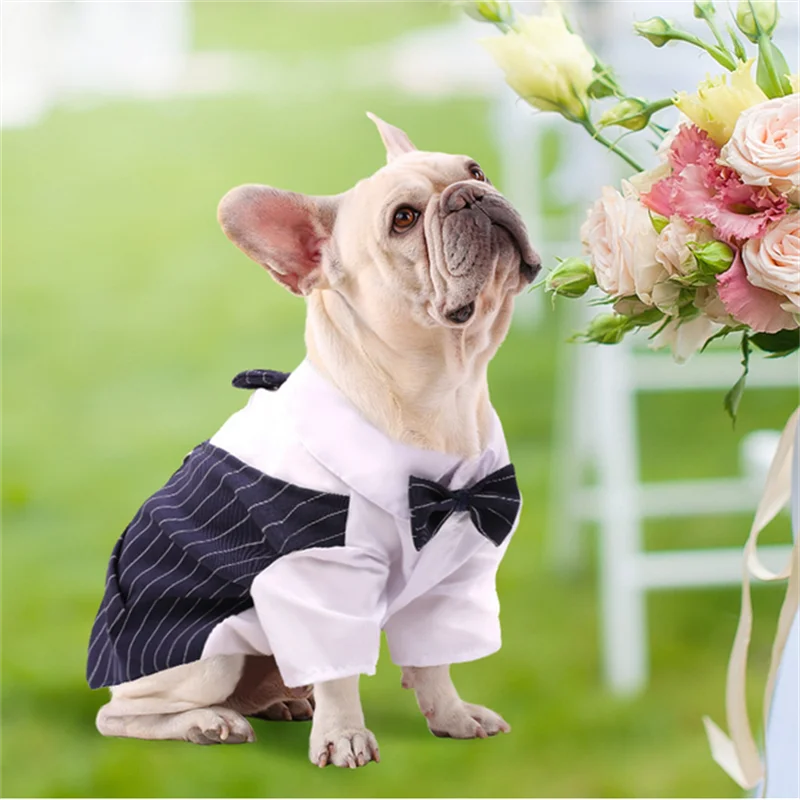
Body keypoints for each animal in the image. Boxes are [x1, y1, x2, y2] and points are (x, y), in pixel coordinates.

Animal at [86, 114, 536, 768]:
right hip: (203, 655)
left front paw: (451, 717)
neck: (443, 392)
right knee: (122, 714)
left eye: (475, 170)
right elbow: (340, 672)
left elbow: (434, 661)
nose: (470, 195)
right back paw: (207, 723)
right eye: (404, 219)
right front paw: (345, 736)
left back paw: (280, 703)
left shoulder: (455, 568)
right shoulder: (321, 576)